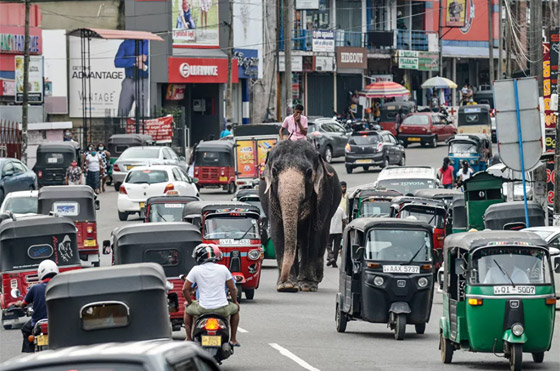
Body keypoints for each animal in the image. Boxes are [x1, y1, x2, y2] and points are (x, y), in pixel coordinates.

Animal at [260, 140, 344, 294]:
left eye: (309, 172)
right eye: (274, 171)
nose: (282, 278)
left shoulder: (322, 193)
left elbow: (312, 233)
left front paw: (307, 286)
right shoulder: (271, 197)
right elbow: (278, 230)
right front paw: (286, 286)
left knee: (323, 236)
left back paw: (316, 277)